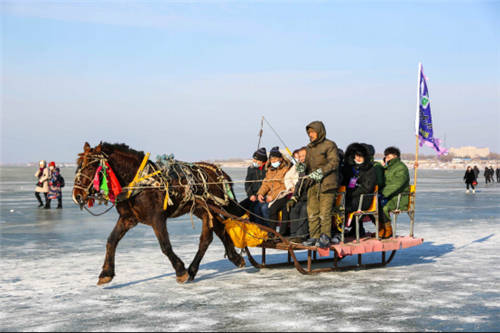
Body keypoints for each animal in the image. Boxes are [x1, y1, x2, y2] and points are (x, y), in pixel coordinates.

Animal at [73, 141, 246, 284]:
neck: (140, 183)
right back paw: (231, 259)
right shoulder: (127, 218)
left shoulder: (157, 218)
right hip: (204, 209)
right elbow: (111, 241)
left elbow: (165, 246)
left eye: (90, 167)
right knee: (215, 233)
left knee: (214, 233)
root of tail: (219, 171)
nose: (77, 195)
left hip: (218, 206)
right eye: (78, 165)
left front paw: (180, 271)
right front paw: (106, 273)